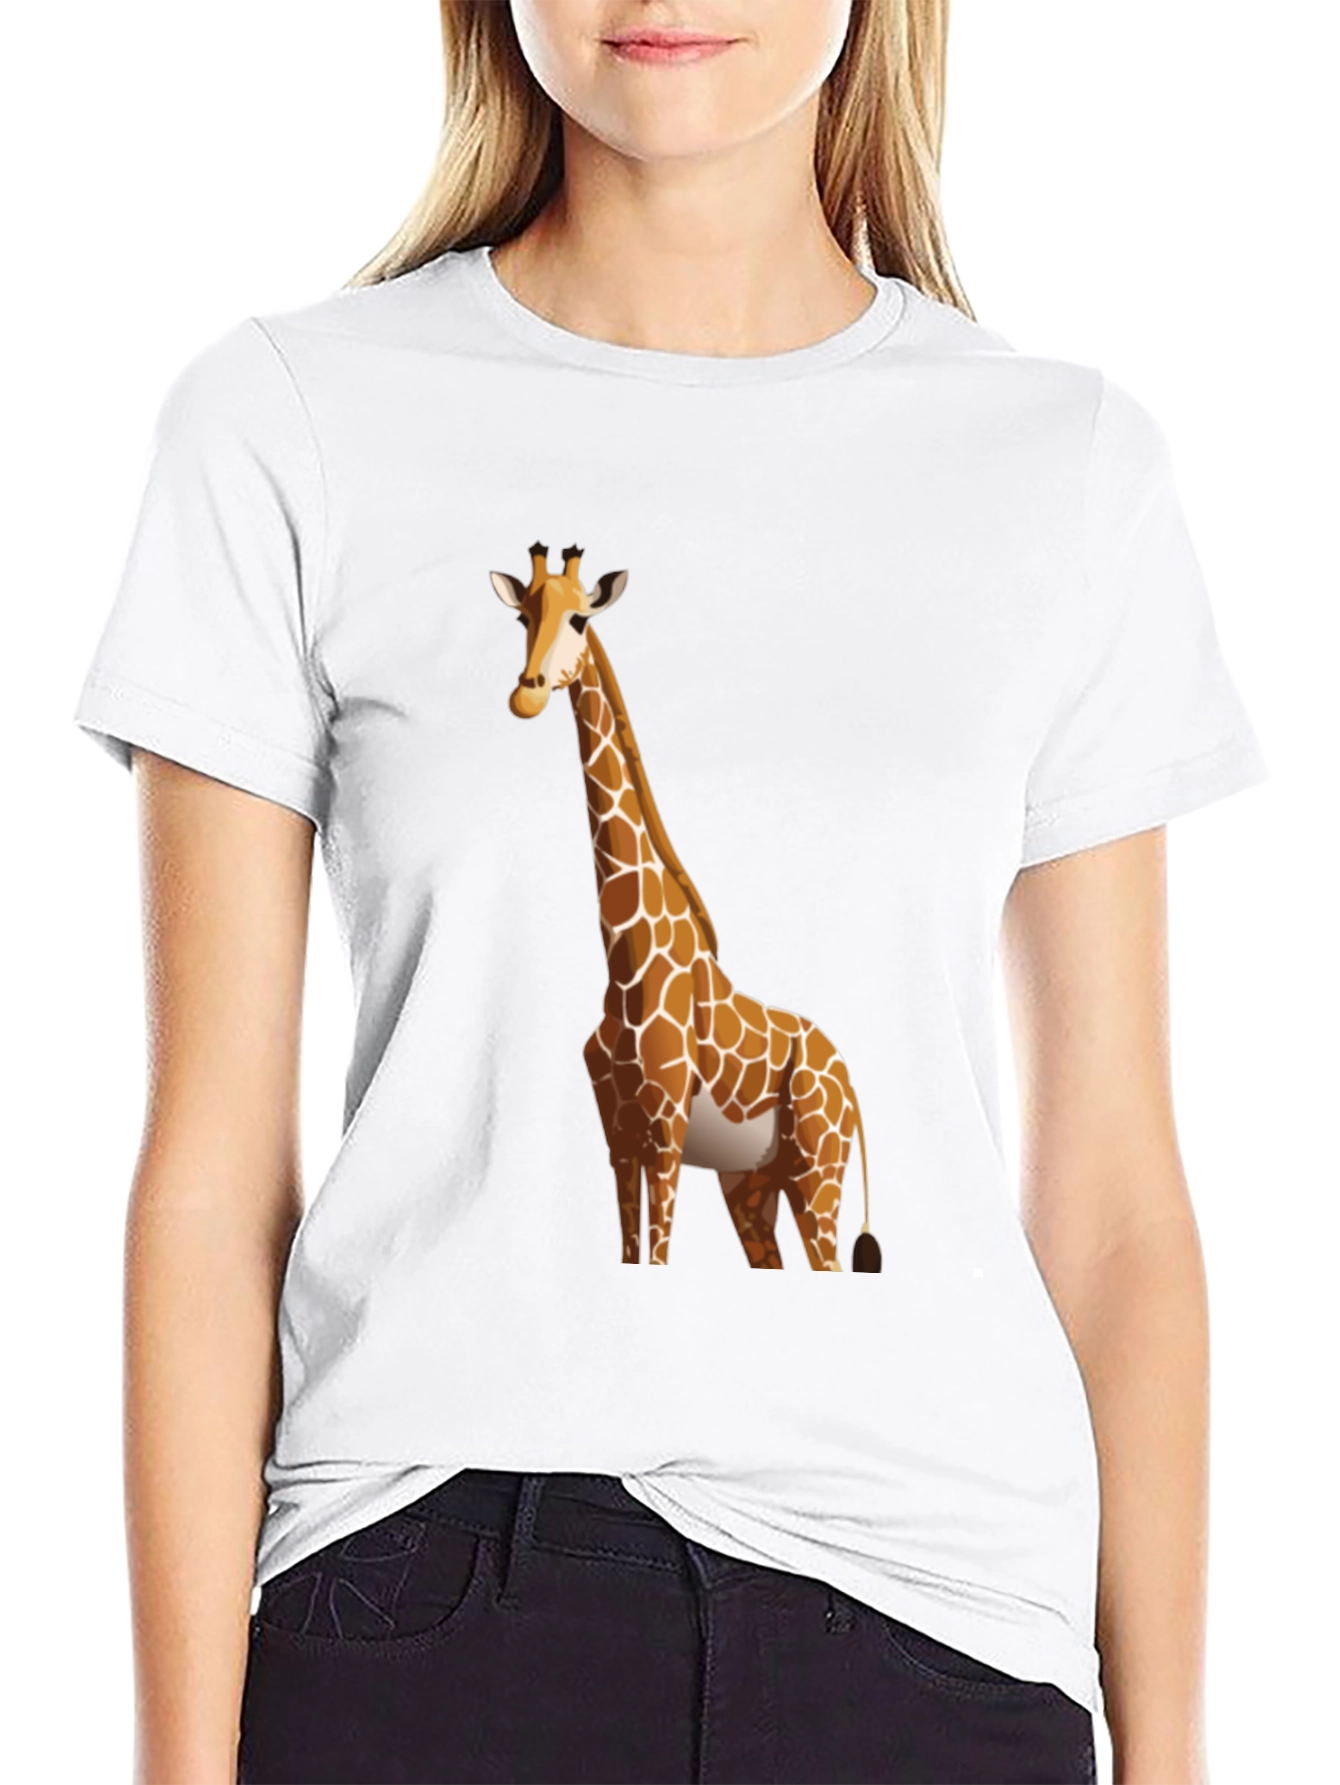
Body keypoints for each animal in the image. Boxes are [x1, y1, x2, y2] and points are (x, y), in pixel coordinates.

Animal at [489, 540, 882, 1274]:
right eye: (522, 615)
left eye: (580, 619)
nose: (526, 693)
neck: (624, 959)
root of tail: (850, 1082)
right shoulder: (619, 1140)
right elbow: (630, 1255)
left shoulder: (665, 1133)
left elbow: (660, 1257)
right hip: (751, 1183)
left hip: (819, 1169)